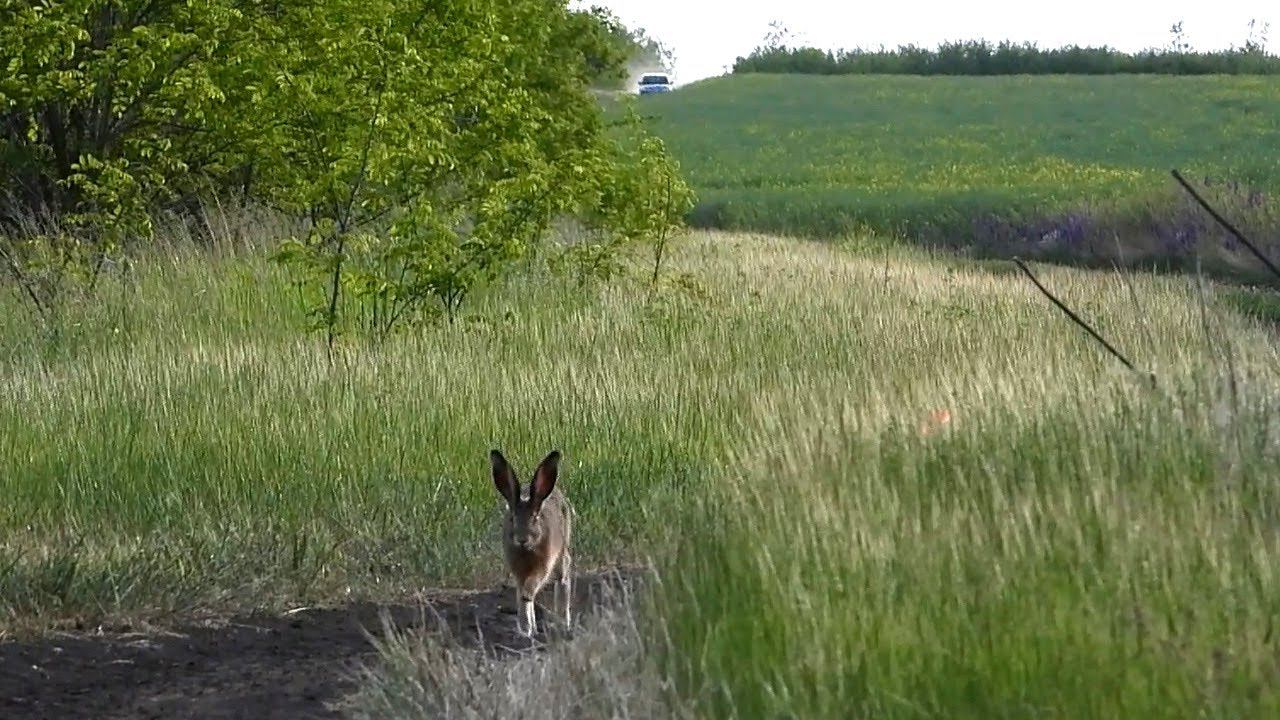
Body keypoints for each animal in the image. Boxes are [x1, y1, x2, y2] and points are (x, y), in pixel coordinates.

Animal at [491, 449, 573, 637]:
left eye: (534, 518)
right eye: (512, 518)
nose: (522, 539)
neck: (526, 551)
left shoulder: (543, 565)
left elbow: (531, 586)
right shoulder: (517, 570)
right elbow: (521, 593)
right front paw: (525, 628)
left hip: (561, 554)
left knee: (562, 579)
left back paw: (563, 623)